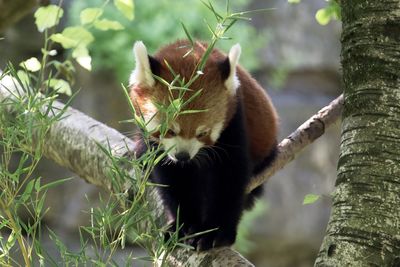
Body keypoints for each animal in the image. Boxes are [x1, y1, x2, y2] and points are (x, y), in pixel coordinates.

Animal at [129, 39, 278, 251]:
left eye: (202, 133)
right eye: (170, 130)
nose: (183, 156)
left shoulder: (234, 121)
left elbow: (228, 177)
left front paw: (215, 232)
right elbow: (174, 178)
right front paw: (183, 225)